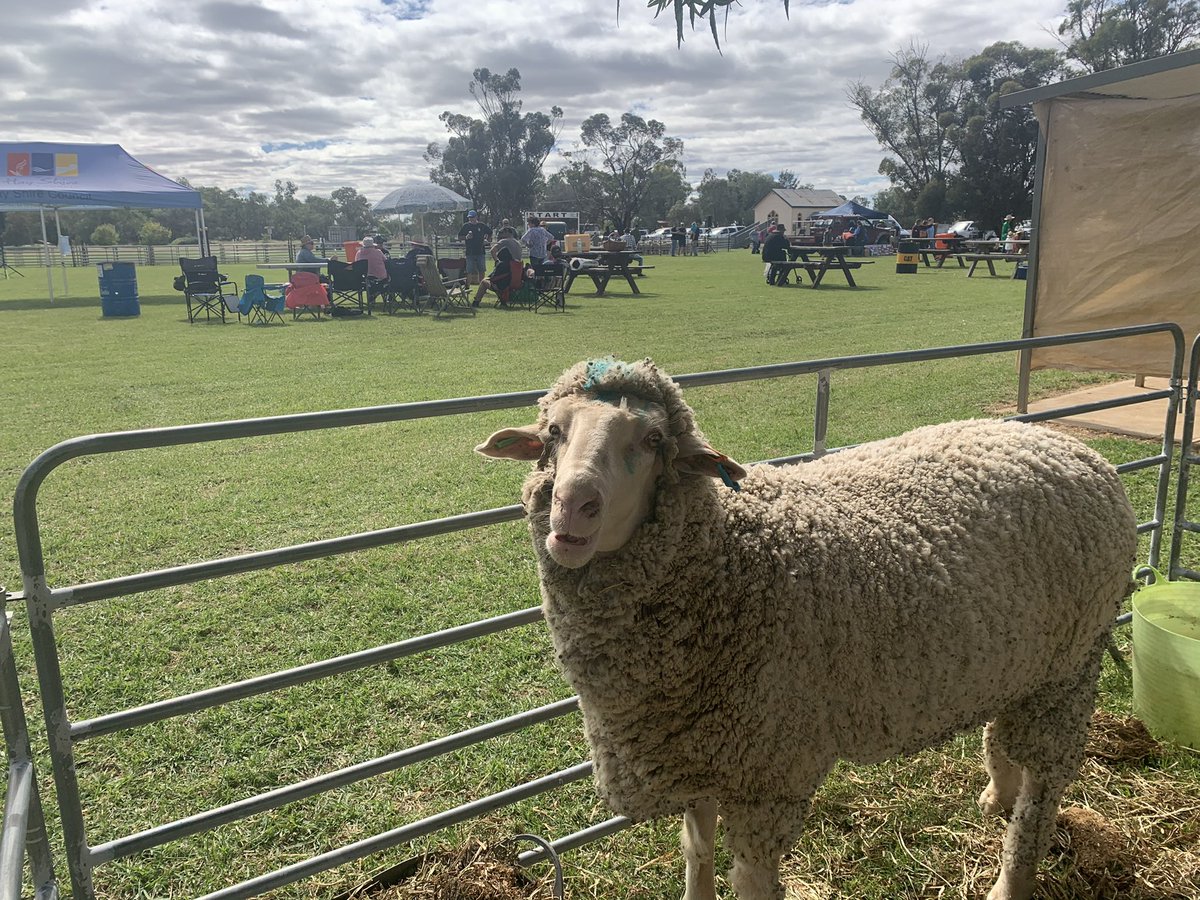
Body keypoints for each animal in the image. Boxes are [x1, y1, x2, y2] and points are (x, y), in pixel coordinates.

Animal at [475, 357, 1137, 900]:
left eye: (654, 439)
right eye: (553, 432)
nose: (572, 507)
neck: (726, 555)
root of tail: (1070, 447)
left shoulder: (768, 774)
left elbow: (750, 882)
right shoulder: (701, 753)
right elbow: (696, 852)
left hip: (1071, 665)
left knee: (1048, 782)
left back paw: (1012, 877)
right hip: (1019, 661)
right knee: (1006, 733)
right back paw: (996, 794)